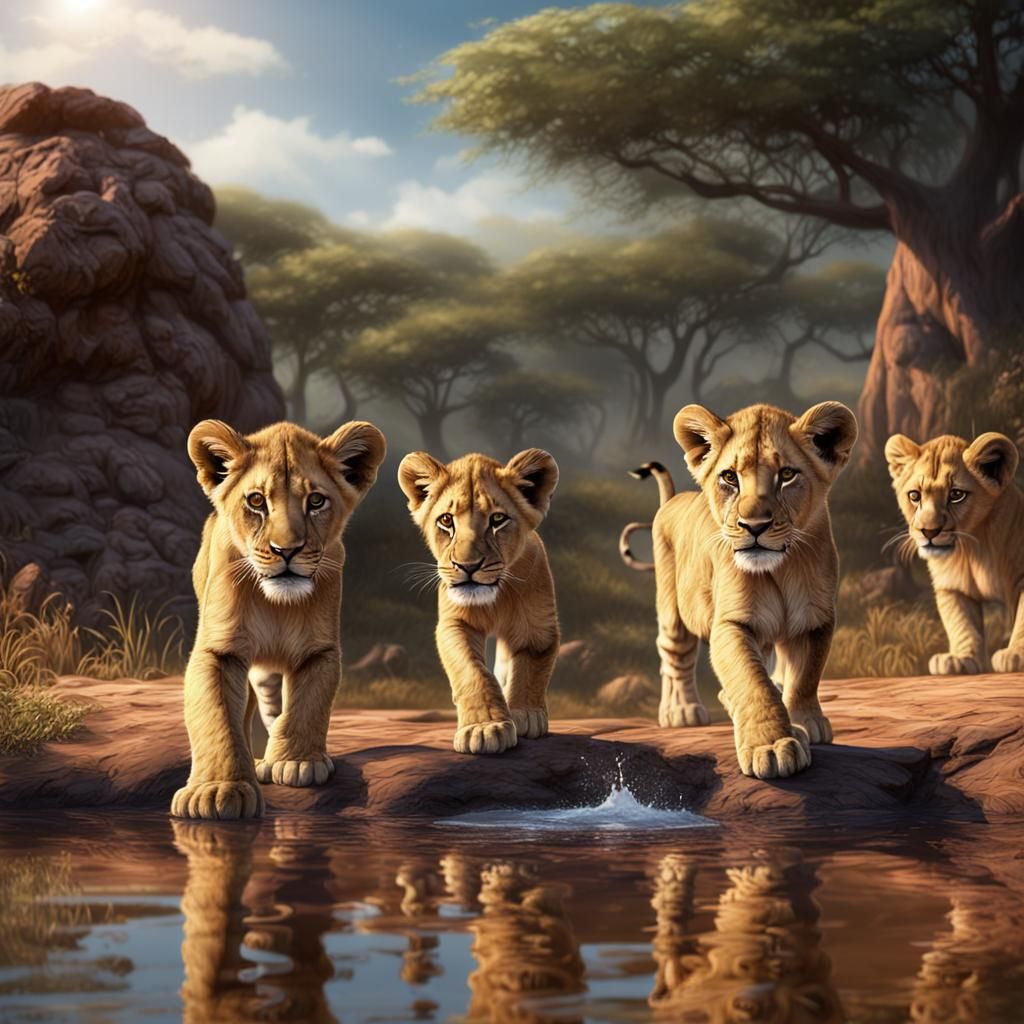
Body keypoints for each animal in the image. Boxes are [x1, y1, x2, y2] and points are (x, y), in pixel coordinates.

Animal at [170, 418, 386, 820]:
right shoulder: (218, 651)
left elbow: (308, 705)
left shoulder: (320, 650)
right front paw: (217, 790)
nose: (286, 551)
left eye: (315, 501)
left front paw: (297, 763)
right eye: (257, 501)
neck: (276, 606)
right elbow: (217, 718)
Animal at [398, 448, 559, 755]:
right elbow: (472, 671)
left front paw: (526, 715)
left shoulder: (538, 628)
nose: (468, 566)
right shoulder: (454, 624)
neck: (496, 598)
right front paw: (485, 728)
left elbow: (530, 671)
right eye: (446, 520)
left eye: (497, 520)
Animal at [620, 402, 858, 779]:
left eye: (786, 475)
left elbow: (805, 676)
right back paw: (681, 711)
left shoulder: (814, 621)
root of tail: (672, 499)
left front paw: (807, 723)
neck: (781, 569)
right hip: (673, 610)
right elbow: (753, 682)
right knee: (674, 659)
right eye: (730, 477)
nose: (754, 526)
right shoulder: (732, 625)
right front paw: (772, 747)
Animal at [884, 431, 1023, 675]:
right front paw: (959, 659)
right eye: (915, 496)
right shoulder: (951, 587)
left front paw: (1015, 654)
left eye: (956, 494)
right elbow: (960, 623)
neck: (972, 552)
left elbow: (1023, 620)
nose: (929, 531)